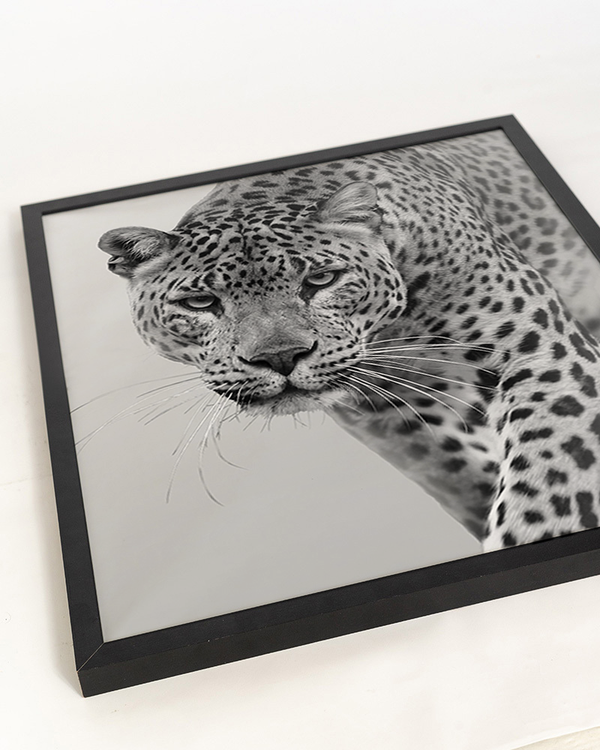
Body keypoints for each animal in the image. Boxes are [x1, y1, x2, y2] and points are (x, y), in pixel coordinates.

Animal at [98, 129, 600, 552]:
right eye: (201, 302)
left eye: (322, 279)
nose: (280, 358)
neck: (397, 328)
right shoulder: (390, 415)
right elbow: (458, 475)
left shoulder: (535, 349)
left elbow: (551, 460)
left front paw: (534, 531)